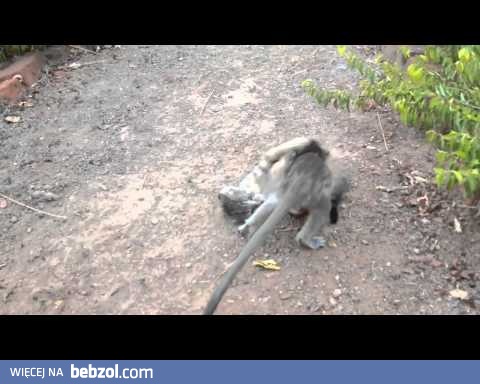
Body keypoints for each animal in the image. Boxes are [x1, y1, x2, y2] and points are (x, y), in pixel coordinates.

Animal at [203, 142, 348, 314]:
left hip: (283, 186)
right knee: (323, 207)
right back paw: (305, 240)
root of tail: (299, 184)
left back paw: (248, 226)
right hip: (314, 195)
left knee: (273, 201)